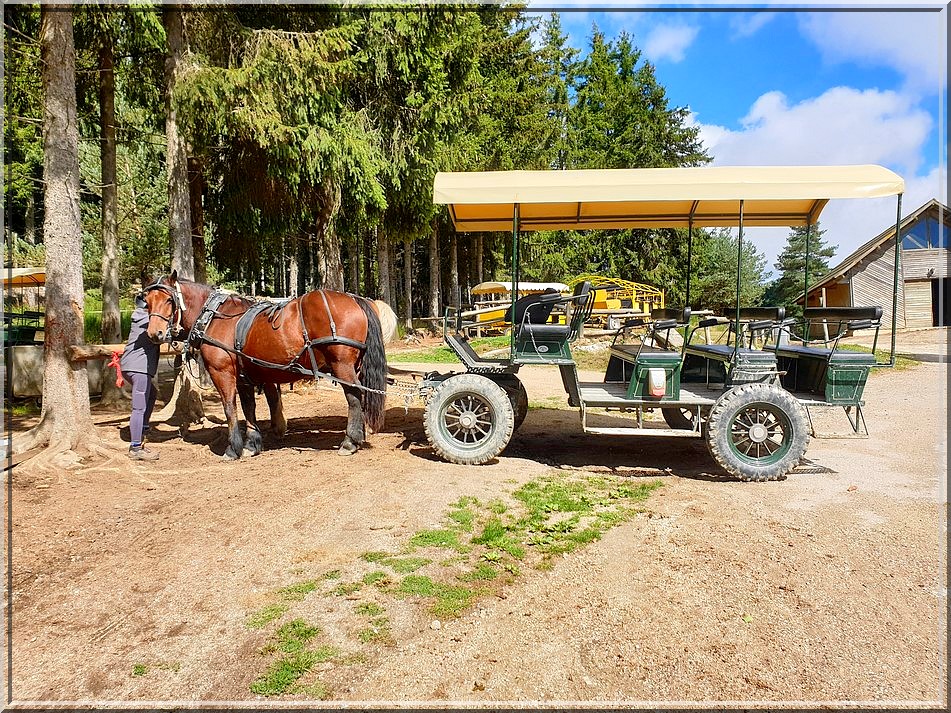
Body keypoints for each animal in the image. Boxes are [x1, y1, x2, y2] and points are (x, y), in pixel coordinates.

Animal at [145, 270, 390, 458]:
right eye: (147, 303)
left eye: (169, 300)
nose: (155, 334)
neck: (214, 317)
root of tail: (355, 299)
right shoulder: (244, 377)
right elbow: (249, 408)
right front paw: (252, 444)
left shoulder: (222, 372)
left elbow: (229, 408)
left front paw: (232, 448)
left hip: (342, 365)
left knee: (354, 397)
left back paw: (350, 442)